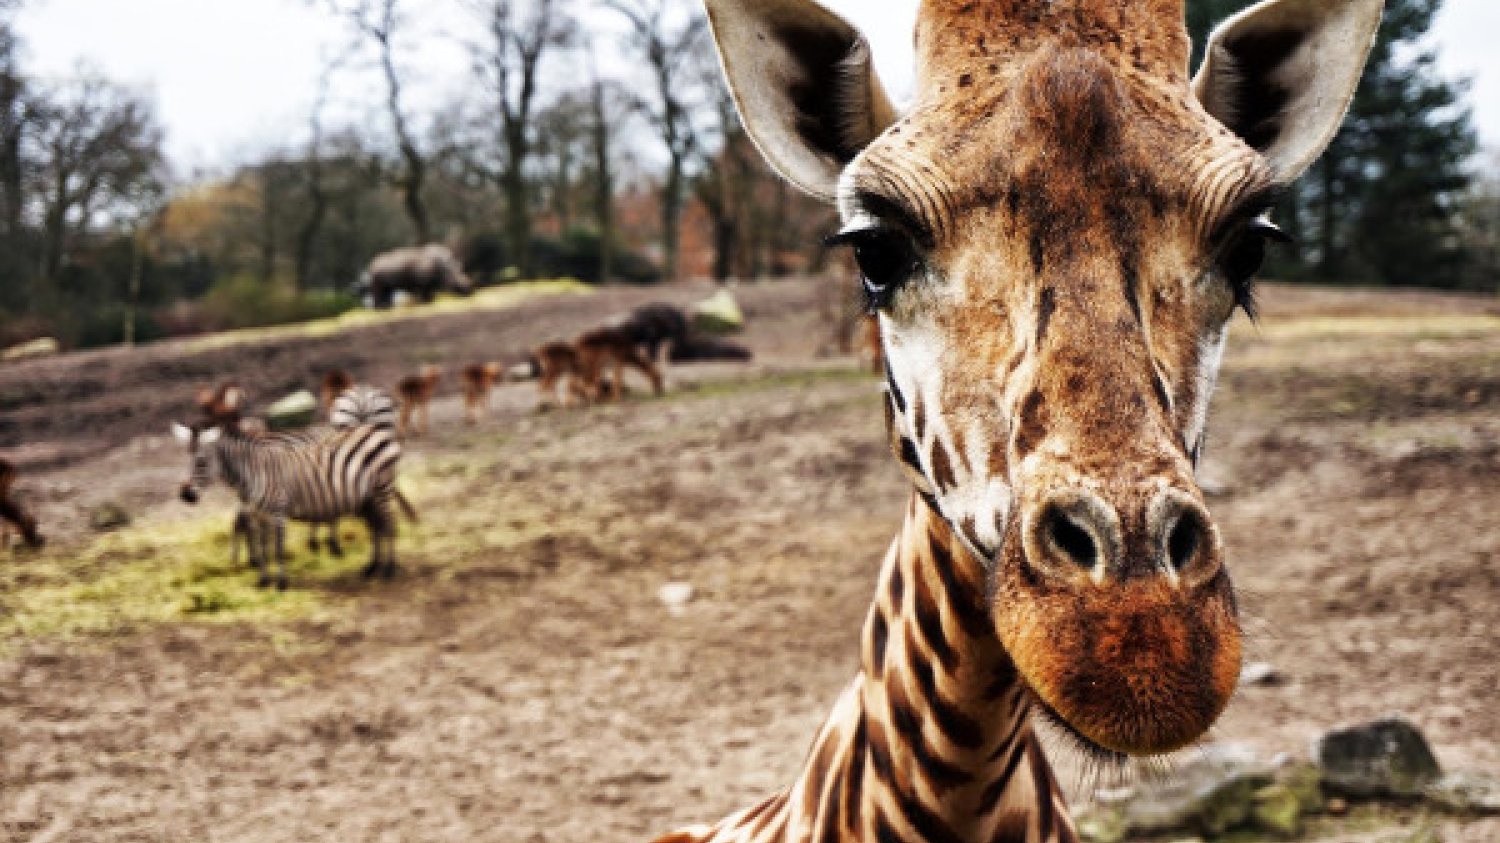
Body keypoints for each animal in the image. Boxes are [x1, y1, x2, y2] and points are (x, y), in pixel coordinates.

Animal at [173, 421, 410, 589]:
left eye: (201, 462)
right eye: (189, 461)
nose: (186, 495)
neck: (254, 474)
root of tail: (375, 429)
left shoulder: (277, 513)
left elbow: (277, 550)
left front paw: (281, 584)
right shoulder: (259, 516)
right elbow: (263, 549)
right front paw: (263, 581)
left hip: (382, 489)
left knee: (390, 525)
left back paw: (388, 570)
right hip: (367, 497)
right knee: (377, 527)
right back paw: (372, 568)